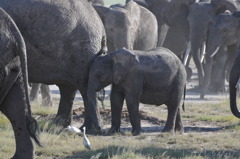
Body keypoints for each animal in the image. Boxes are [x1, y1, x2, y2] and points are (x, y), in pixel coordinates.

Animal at [0, 0, 107, 130]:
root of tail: (101, 27)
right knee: (68, 87)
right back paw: (58, 125)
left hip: (84, 50)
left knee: (85, 87)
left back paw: (88, 128)